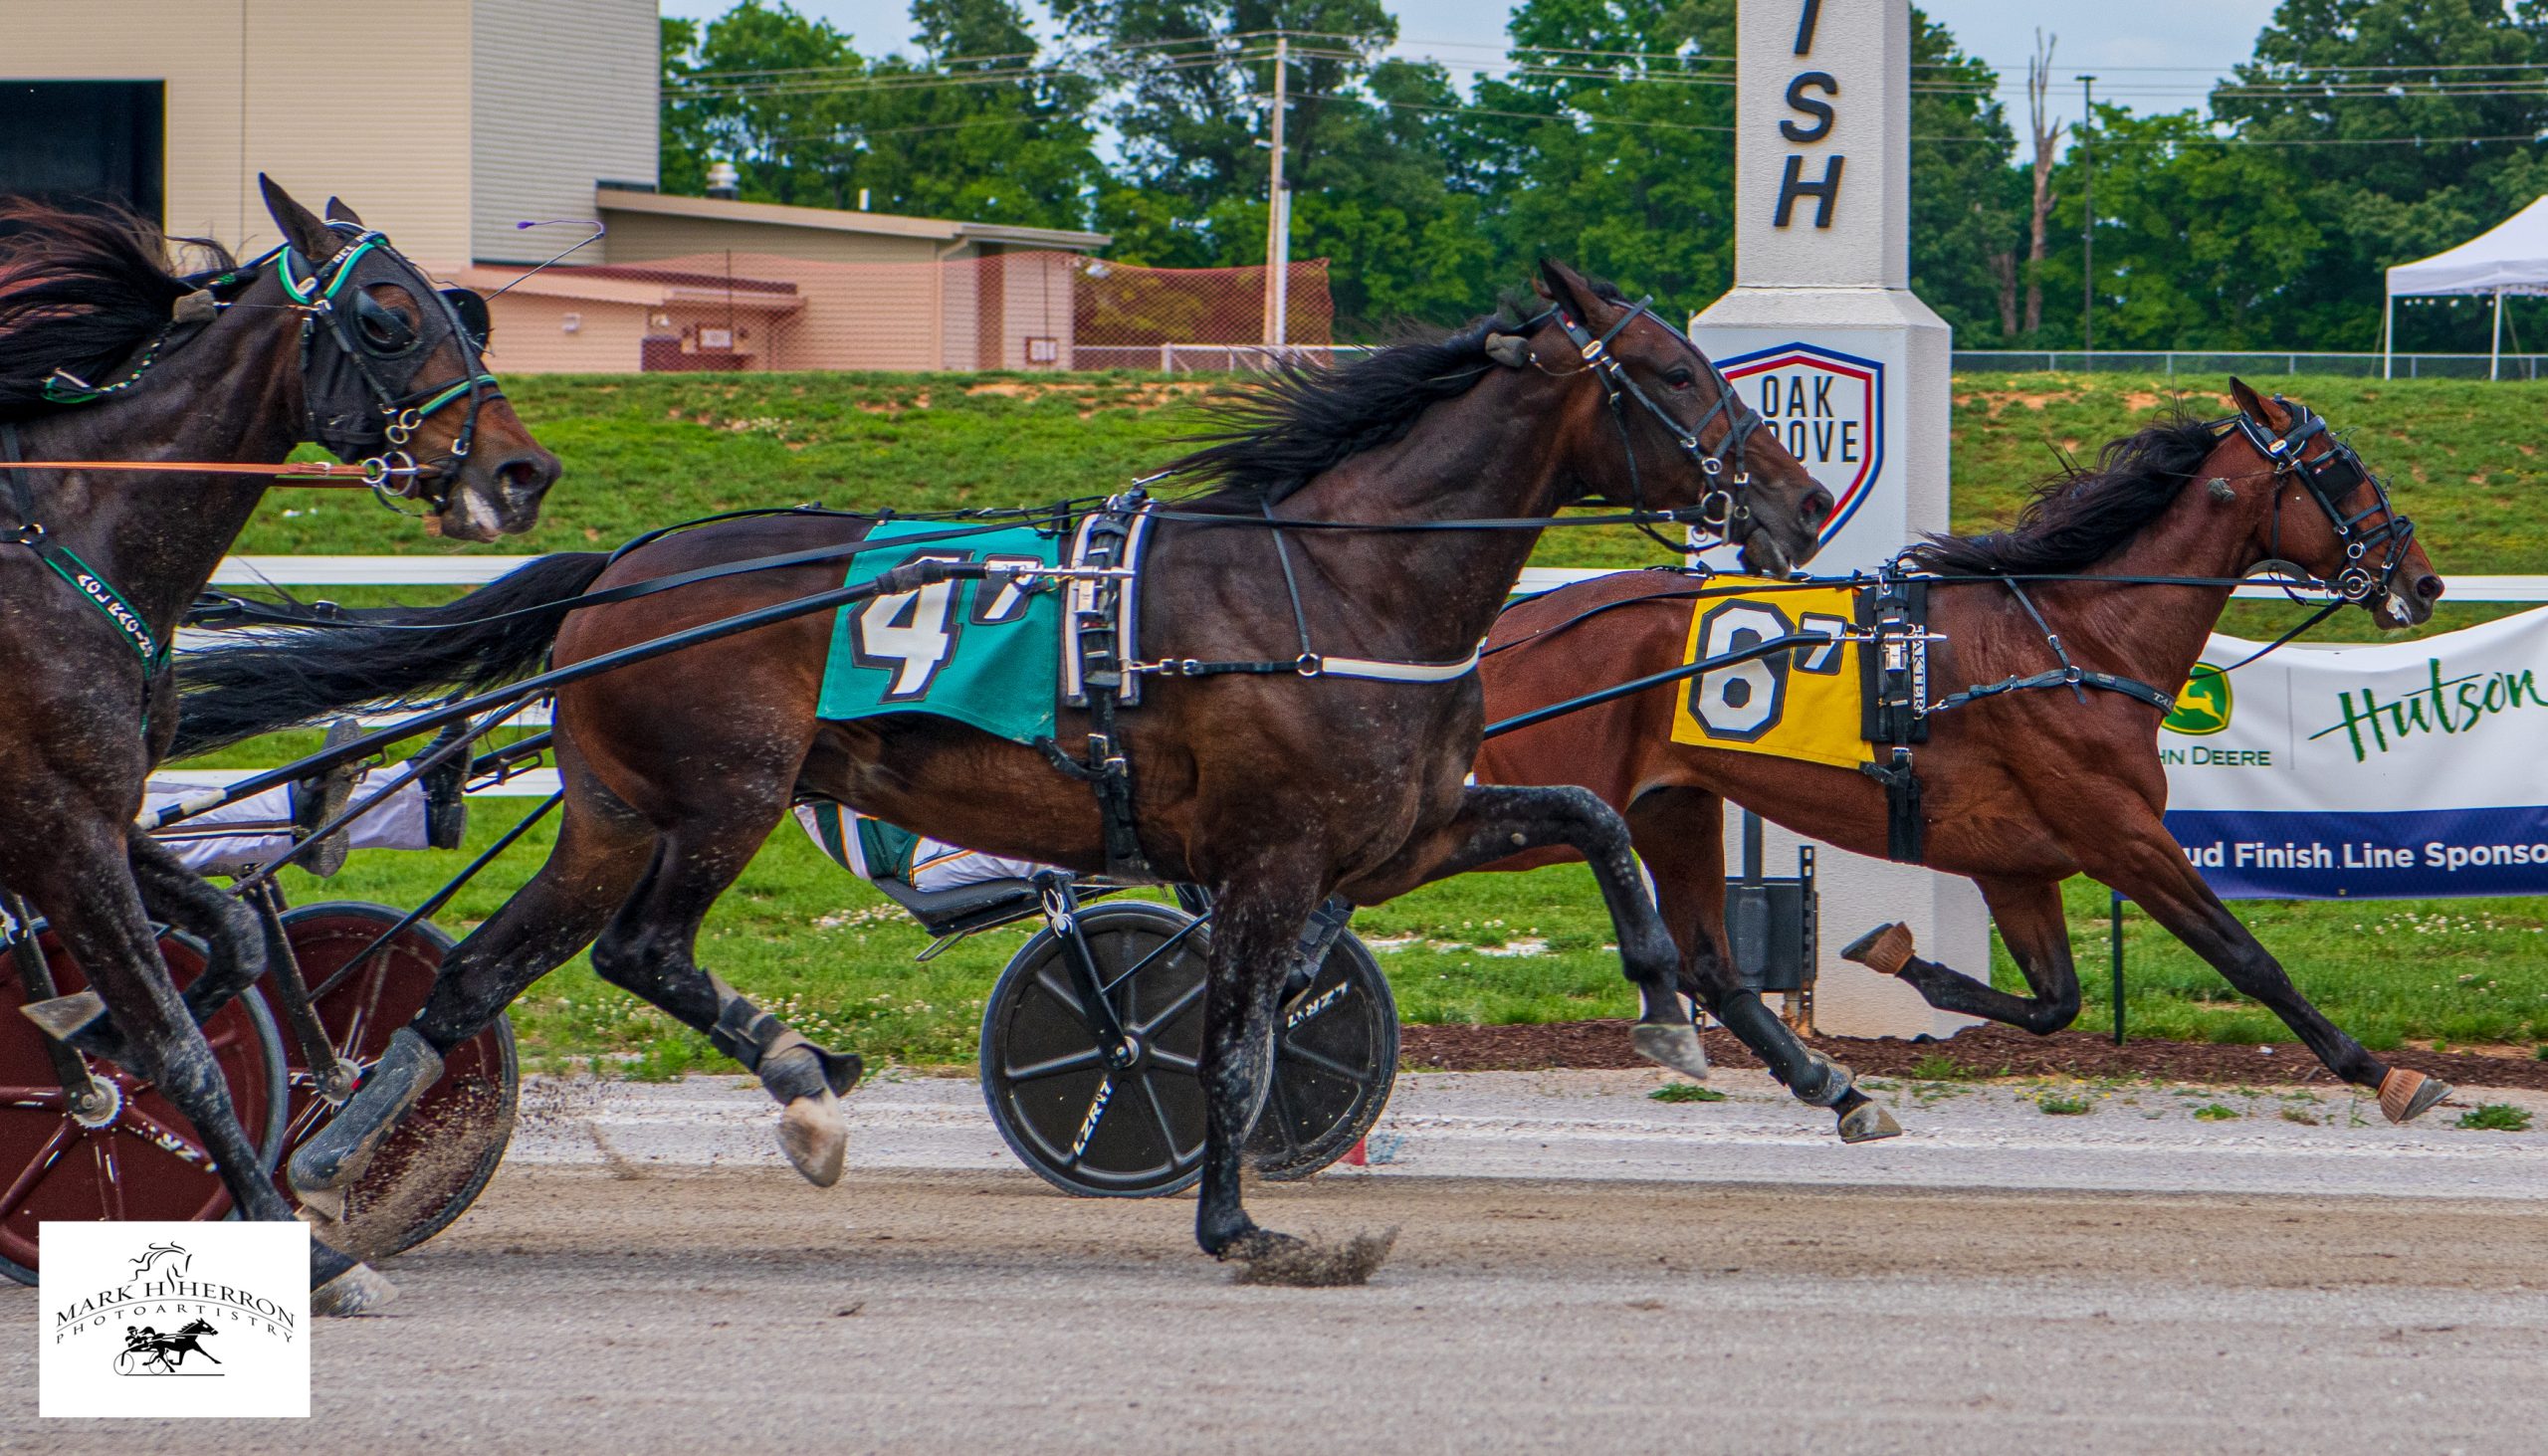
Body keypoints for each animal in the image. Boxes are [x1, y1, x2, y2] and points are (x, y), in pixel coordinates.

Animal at [1477, 379, 2466, 1127]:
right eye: (2341, 469)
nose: (2423, 581)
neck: (2074, 639)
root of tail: (1513, 630)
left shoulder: (2017, 863)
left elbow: (2055, 1001)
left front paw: (1896, 955)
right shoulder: (2120, 832)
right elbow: (2245, 955)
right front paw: (2382, 1070)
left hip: (1672, 803)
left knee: (1717, 970)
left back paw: (1832, 1087)